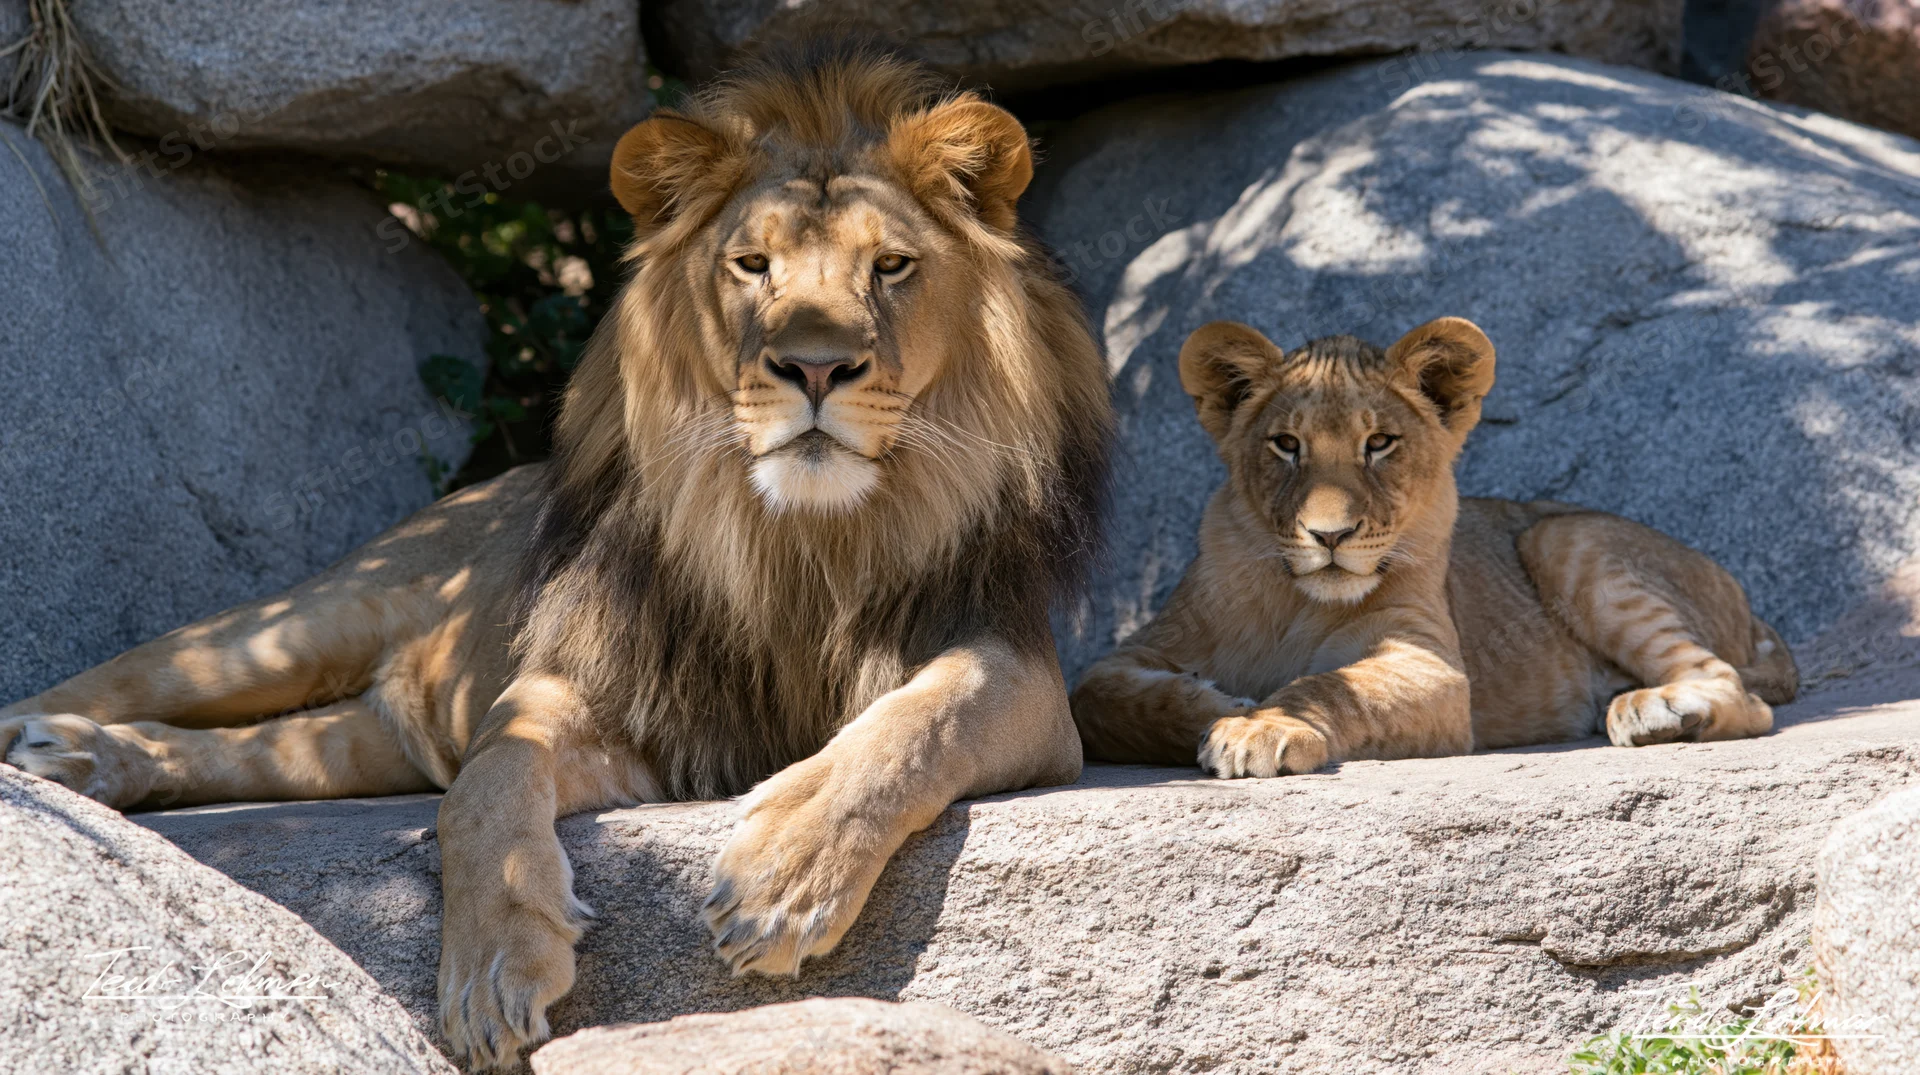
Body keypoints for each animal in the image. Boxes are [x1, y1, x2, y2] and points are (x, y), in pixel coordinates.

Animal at [0, 45, 1111, 1069]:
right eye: (751, 266)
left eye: (892, 268)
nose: (814, 365)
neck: (795, 538)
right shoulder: (599, 686)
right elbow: (489, 782)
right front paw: (493, 967)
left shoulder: (1017, 669)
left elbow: (918, 722)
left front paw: (784, 875)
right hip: (285, 631)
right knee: (131, 679)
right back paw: (47, 753)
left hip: (353, 740)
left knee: (250, 752)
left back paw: (92, 762)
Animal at [1070, 317, 1796, 778]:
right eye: (1286, 444)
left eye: (1379, 443)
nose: (1328, 535)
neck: (1294, 600)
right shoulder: (1133, 652)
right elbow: (1101, 702)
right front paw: (1222, 705)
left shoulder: (1435, 671)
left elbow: (1329, 685)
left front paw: (1258, 724)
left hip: (1565, 534)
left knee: (1738, 691)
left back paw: (1655, 709)